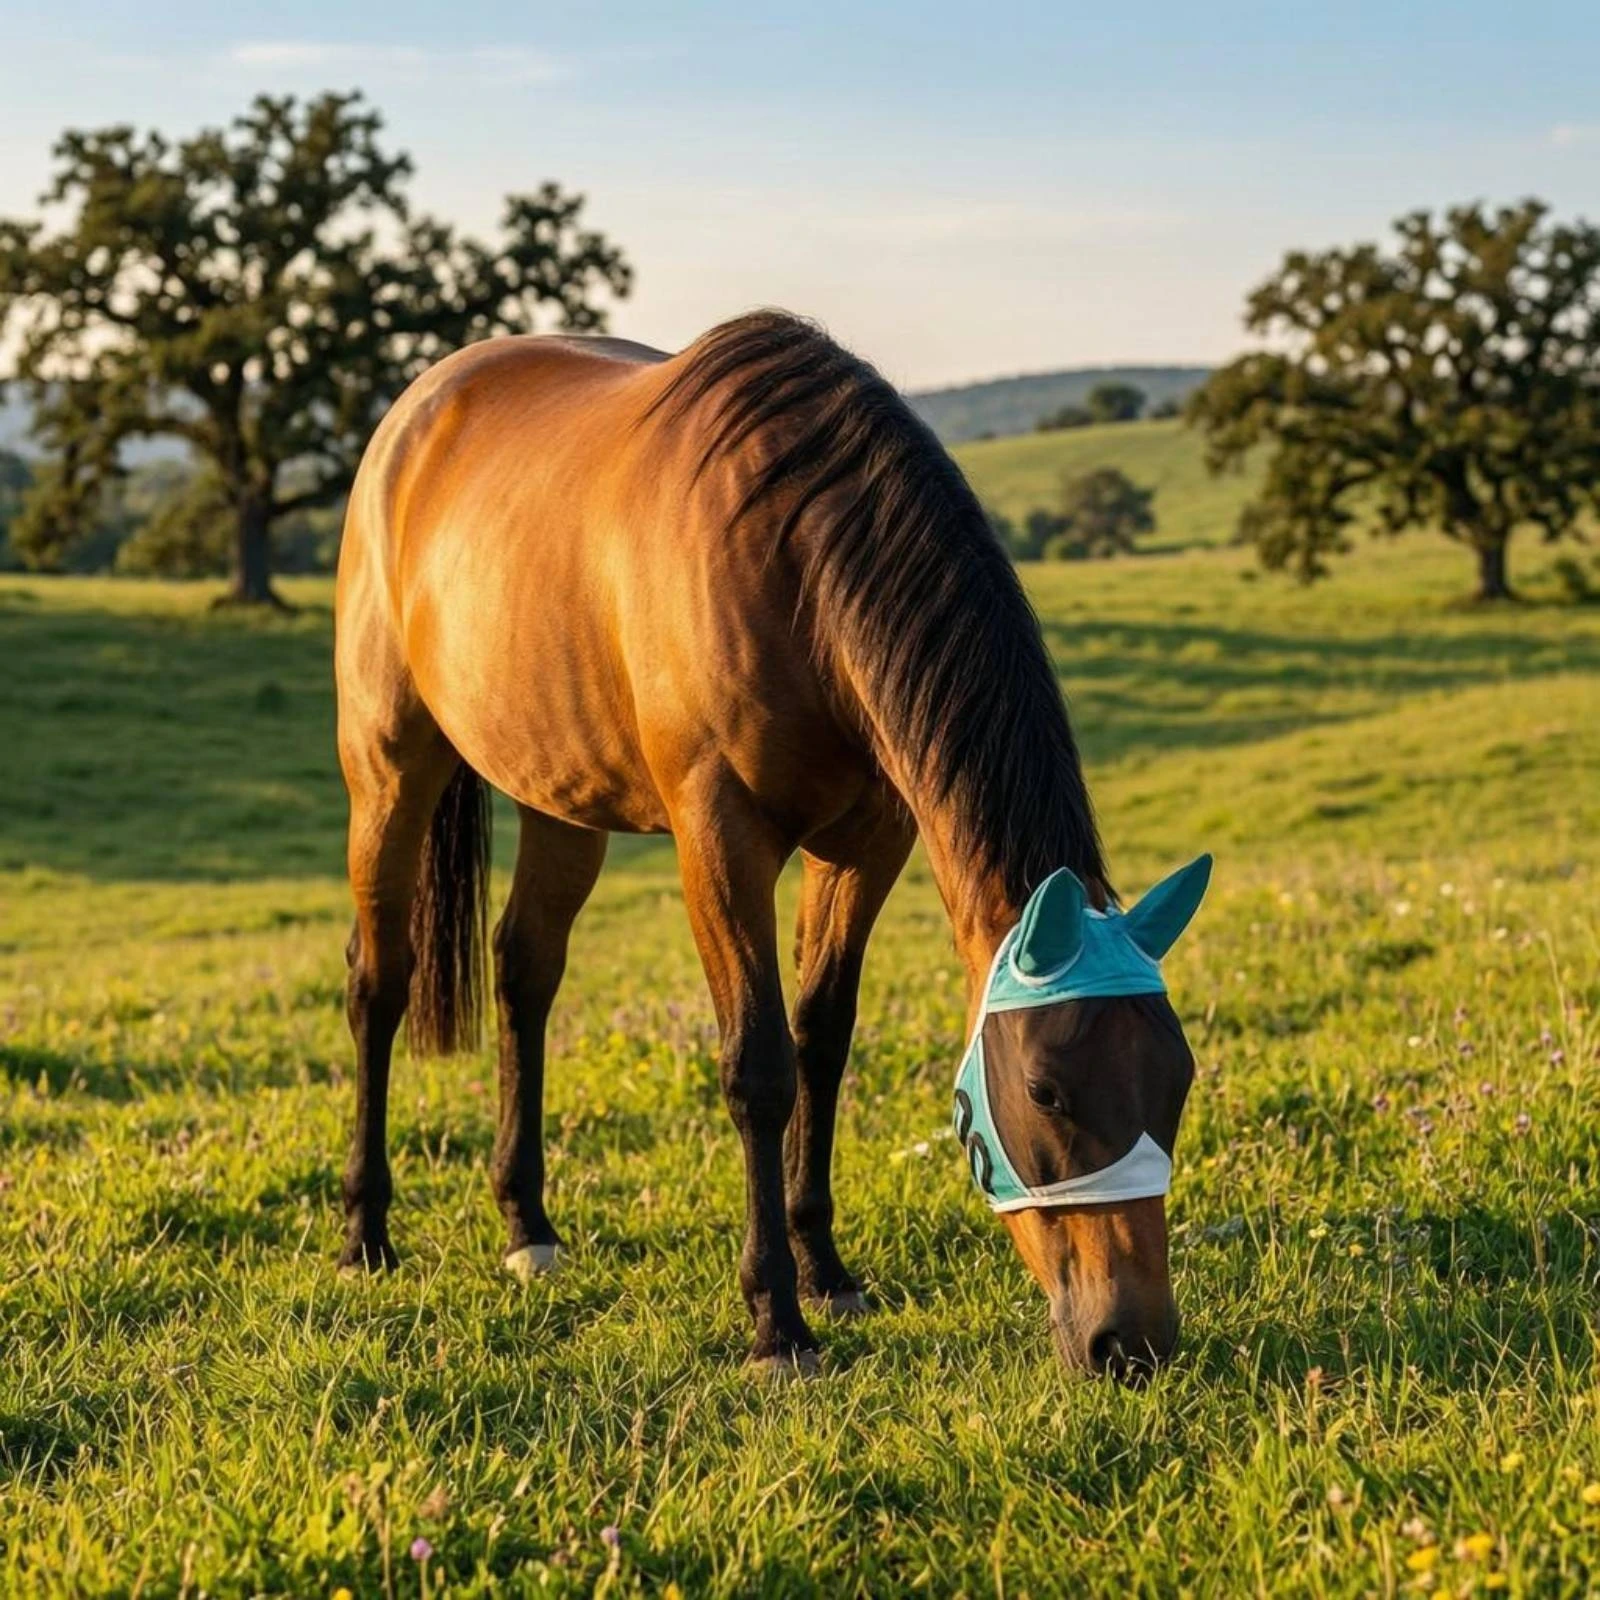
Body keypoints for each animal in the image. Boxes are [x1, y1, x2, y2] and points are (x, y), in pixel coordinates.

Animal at [333, 310, 1200, 1378]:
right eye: (1046, 1090)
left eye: (1176, 1077)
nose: (1134, 1342)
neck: (791, 562)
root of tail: (418, 410)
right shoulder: (720, 838)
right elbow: (758, 1066)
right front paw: (776, 1321)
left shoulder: (868, 841)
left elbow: (820, 1042)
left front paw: (825, 1269)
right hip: (388, 771)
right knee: (380, 981)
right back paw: (366, 1234)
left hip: (564, 801)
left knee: (524, 972)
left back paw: (527, 1225)